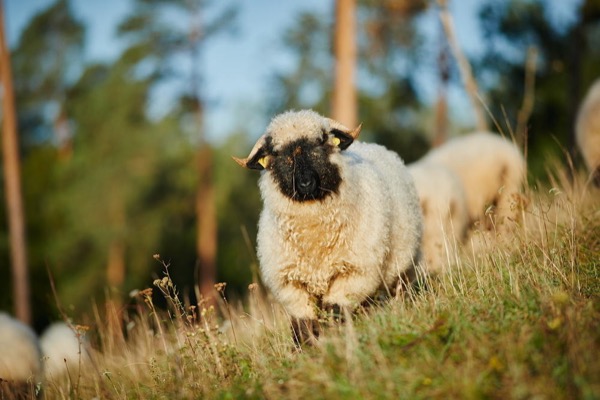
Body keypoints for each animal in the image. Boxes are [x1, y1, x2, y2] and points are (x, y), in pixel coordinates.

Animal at [232, 108, 424, 344]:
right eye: (279, 155)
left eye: (320, 145)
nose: (305, 184)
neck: (315, 237)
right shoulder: (291, 285)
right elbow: (303, 325)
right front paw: (307, 349)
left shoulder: (355, 273)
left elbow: (335, 311)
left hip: (402, 269)